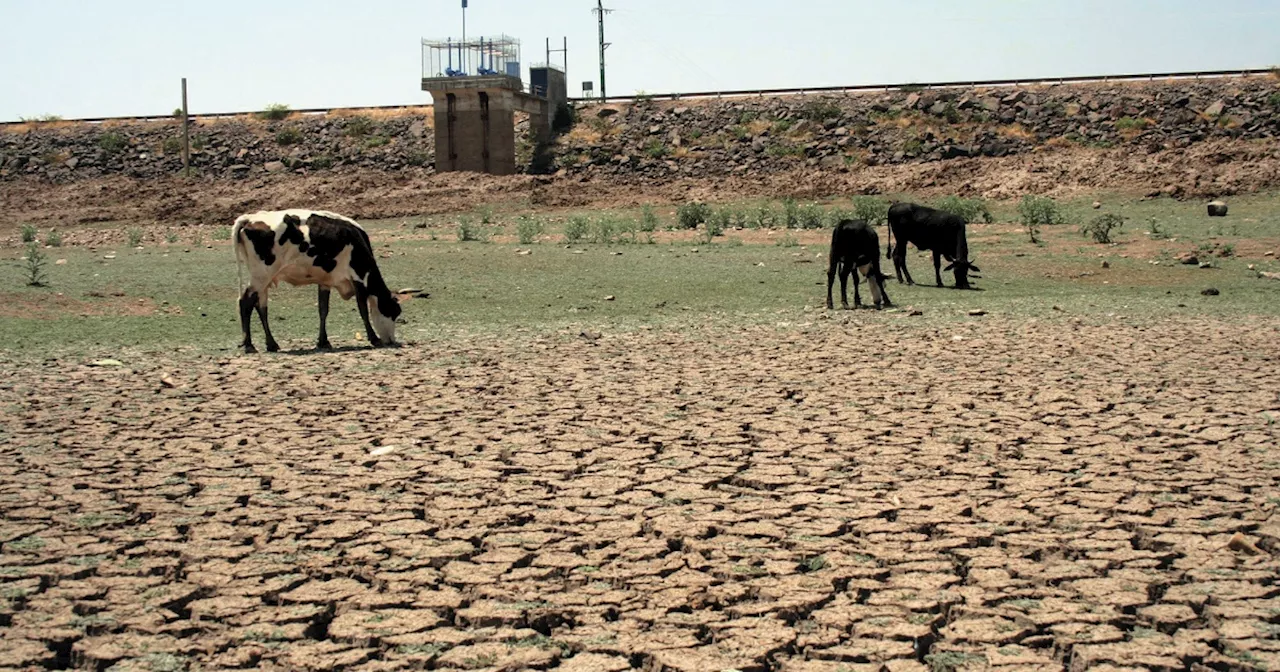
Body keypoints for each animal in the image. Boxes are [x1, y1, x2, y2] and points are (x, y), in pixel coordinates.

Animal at [232, 209, 401, 353]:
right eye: (394, 312)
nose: (391, 340)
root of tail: (249, 219)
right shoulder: (358, 278)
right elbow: (363, 310)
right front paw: (374, 339)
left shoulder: (325, 282)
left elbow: (323, 310)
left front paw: (323, 341)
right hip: (261, 276)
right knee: (245, 302)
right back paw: (249, 345)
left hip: (263, 280)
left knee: (261, 307)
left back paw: (271, 344)